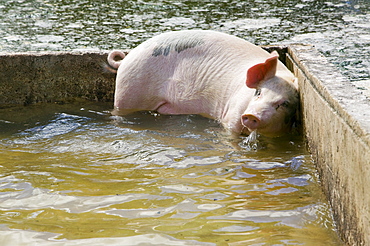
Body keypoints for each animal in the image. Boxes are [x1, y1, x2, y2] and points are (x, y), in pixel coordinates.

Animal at [107, 30, 298, 137]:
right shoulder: (233, 112)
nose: (252, 115)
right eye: (258, 92)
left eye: (284, 103)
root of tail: (126, 59)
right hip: (129, 89)